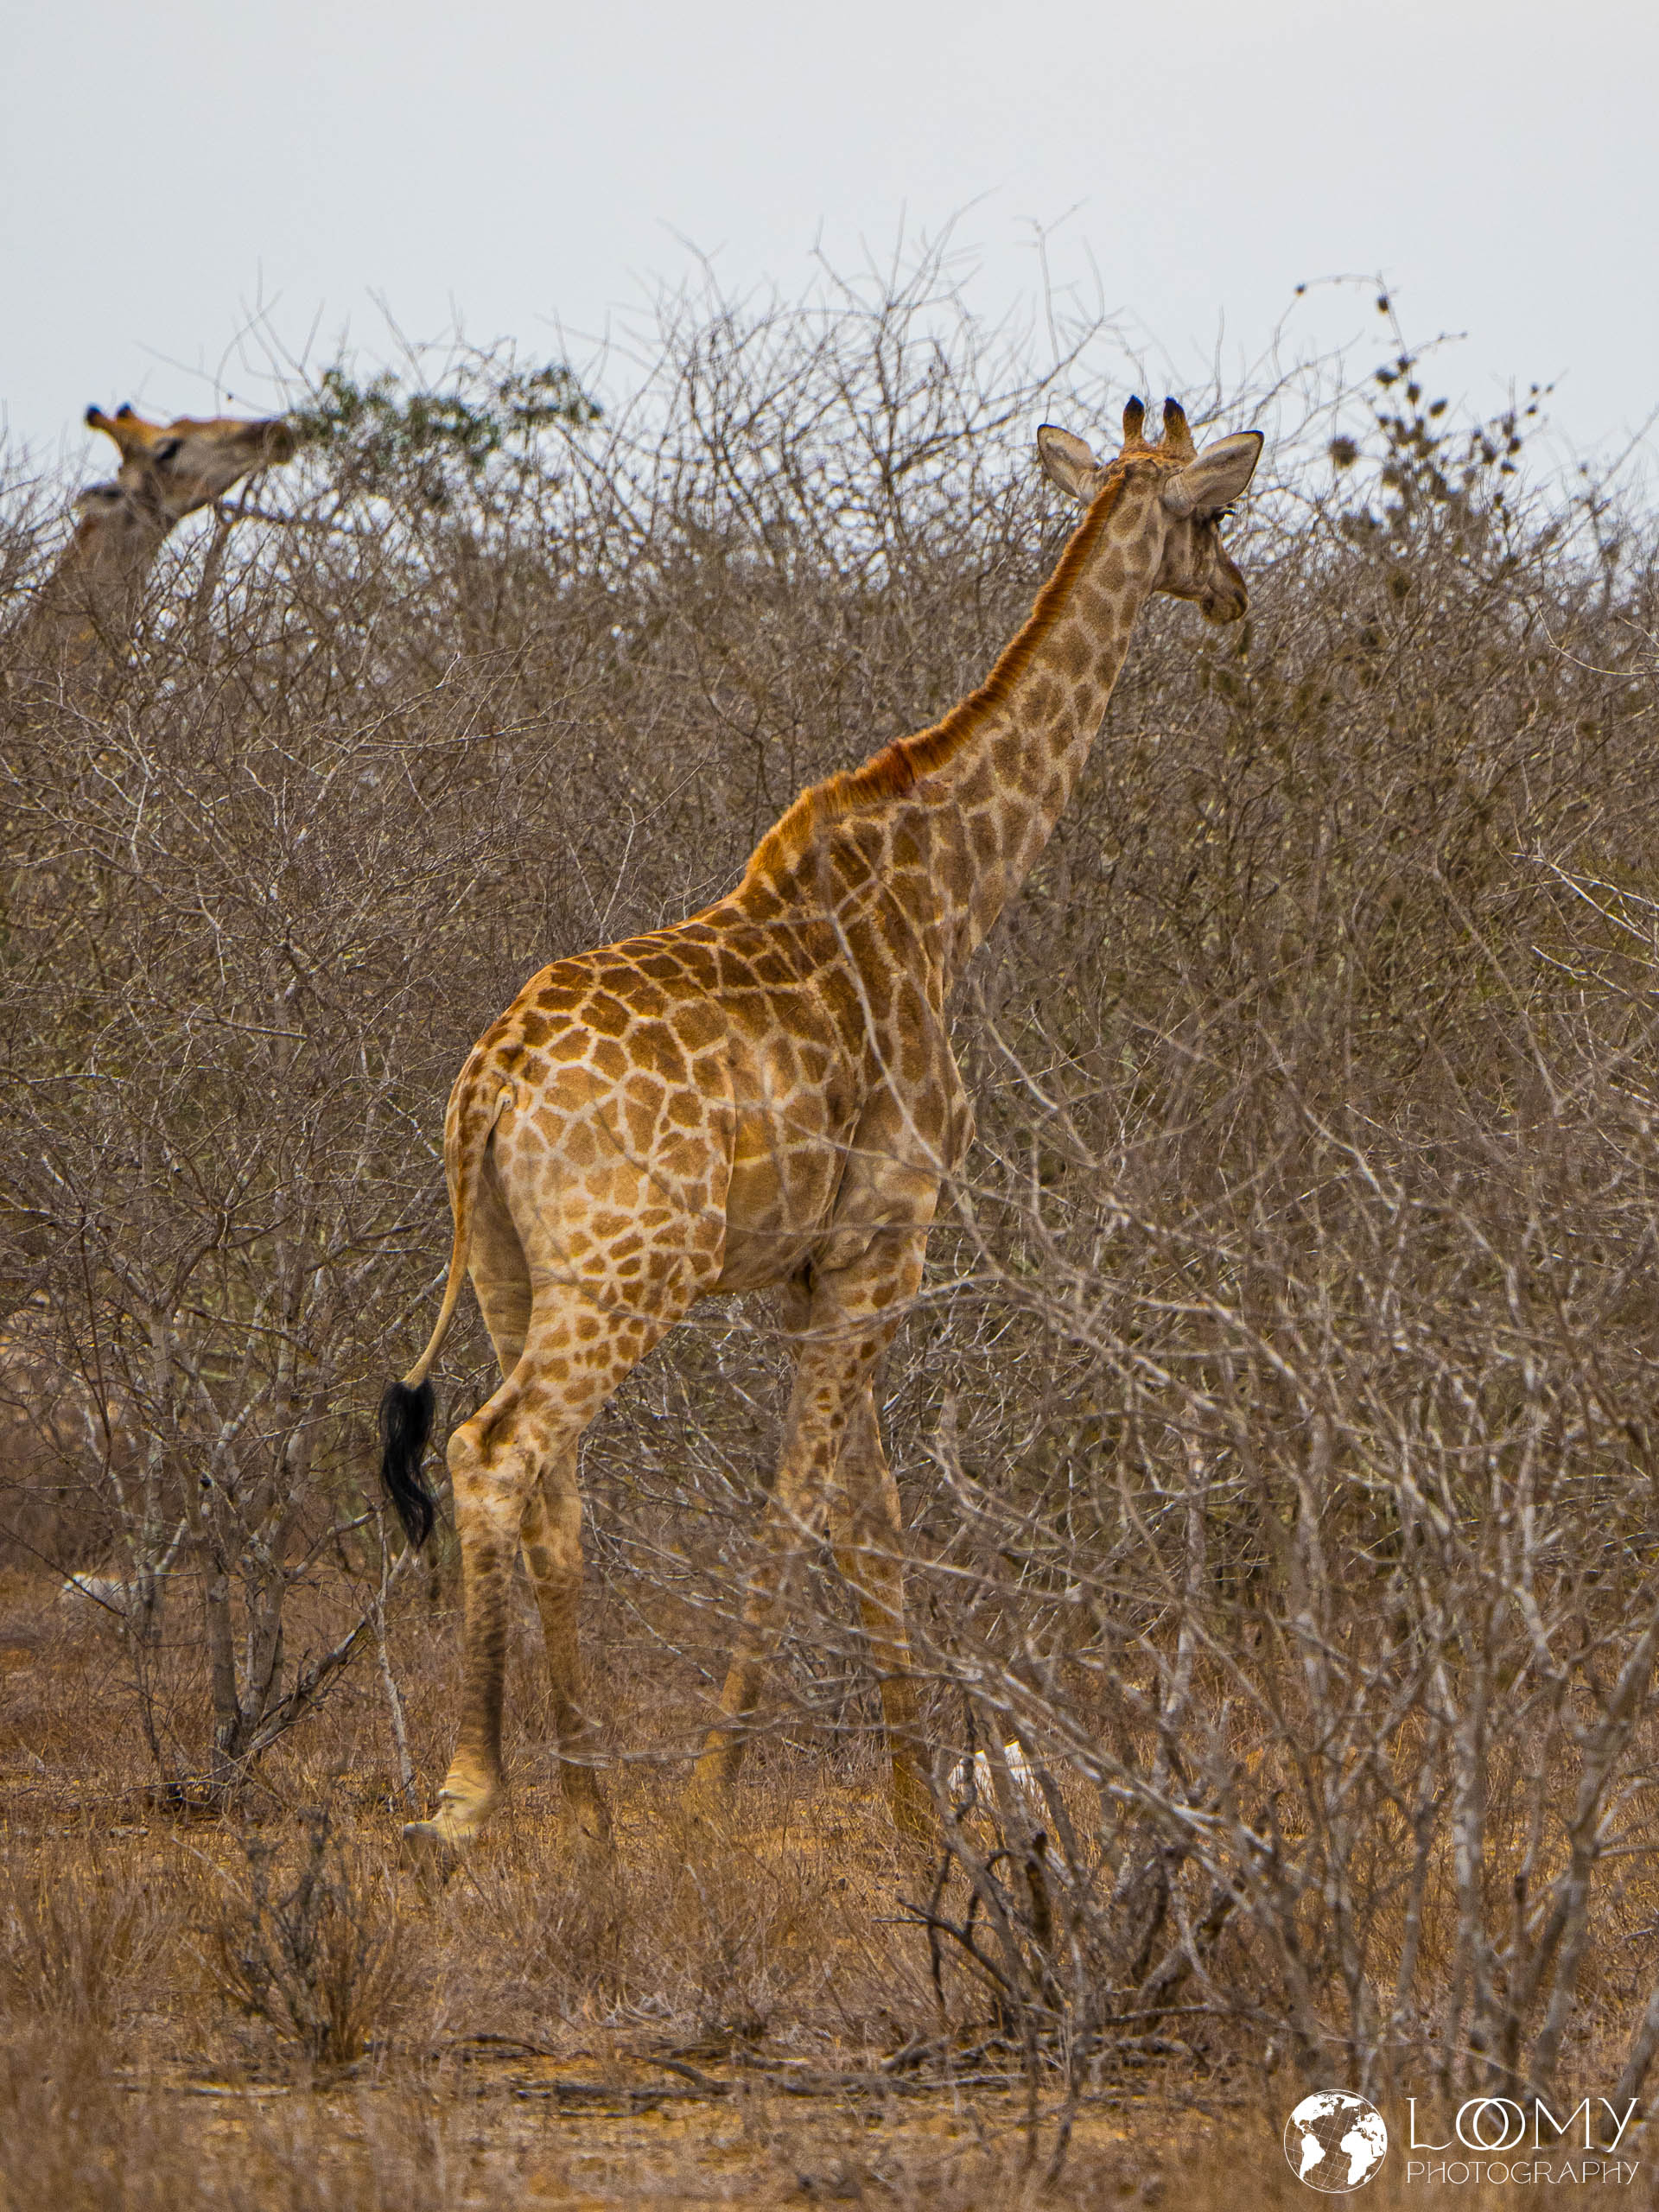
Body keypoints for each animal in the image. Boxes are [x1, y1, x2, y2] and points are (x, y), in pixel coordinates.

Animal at [378, 395, 1264, 1859]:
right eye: (1216, 511)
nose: (1239, 596)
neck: (949, 896)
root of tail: (488, 1086)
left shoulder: (820, 1268)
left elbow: (872, 1524)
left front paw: (915, 1813)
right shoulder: (884, 1247)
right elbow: (802, 1513)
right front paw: (713, 1791)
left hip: (514, 1270)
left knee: (554, 1488)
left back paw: (591, 1807)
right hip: (629, 1276)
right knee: (496, 1454)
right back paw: (471, 1796)